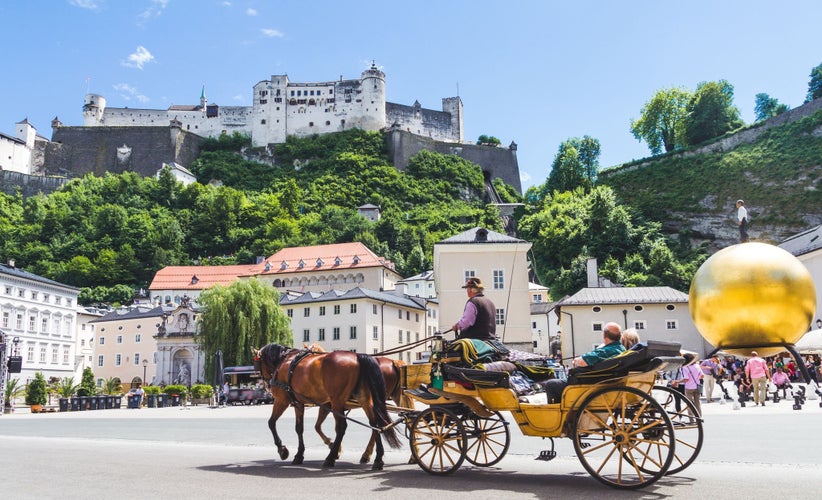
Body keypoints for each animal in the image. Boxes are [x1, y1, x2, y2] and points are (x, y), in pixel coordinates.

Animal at [256, 344, 400, 468]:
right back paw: (377, 459)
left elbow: (272, 423)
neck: (285, 361)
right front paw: (300, 454)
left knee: (343, 427)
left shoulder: (282, 400)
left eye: (258, 364)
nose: (265, 385)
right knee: (375, 424)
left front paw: (282, 450)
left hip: (337, 401)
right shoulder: (301, 404)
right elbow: (301, 428)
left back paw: (331, 458)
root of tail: (357, 356)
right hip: (364, 399)